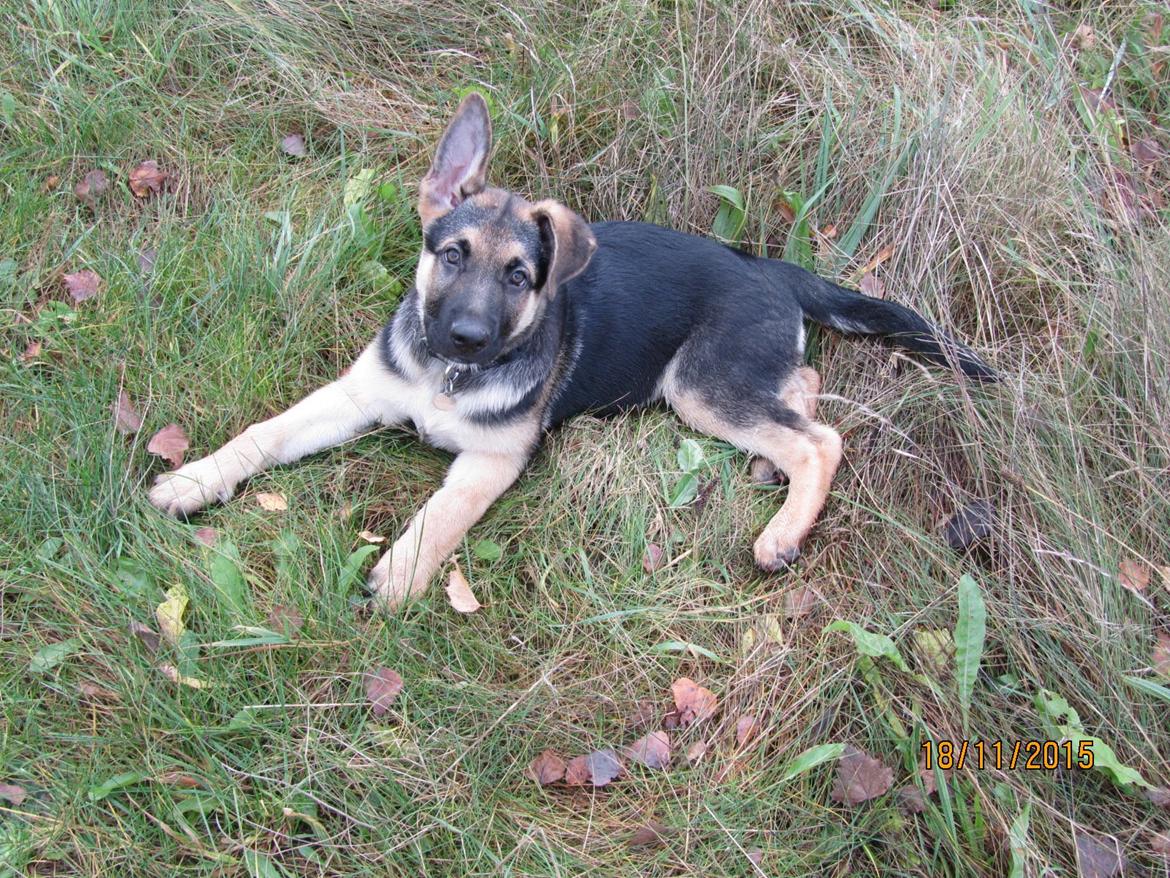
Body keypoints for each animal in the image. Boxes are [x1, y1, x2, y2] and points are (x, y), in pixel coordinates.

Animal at [143, 93, 987, 608]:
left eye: (520, 276)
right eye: (453, 255)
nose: (465, 335)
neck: (451, 377)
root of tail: (768, 266)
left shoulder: (491, 461)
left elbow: (440, 514)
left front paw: (402, 576)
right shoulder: (355, 394)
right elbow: (267, 431)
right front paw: (193, 478)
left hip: (699, 384)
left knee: (821, 439)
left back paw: (781, 532)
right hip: (726, 382)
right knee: (801, 383)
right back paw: (766, 464)